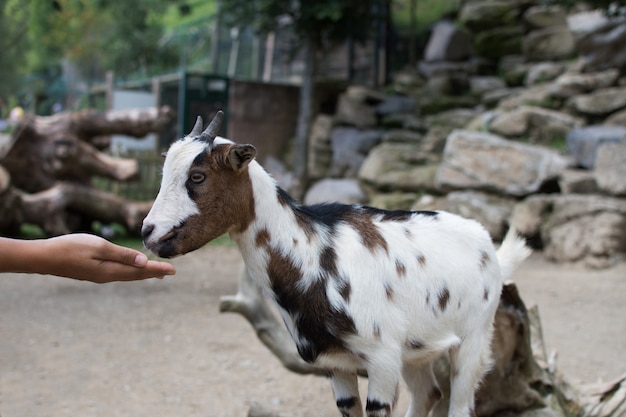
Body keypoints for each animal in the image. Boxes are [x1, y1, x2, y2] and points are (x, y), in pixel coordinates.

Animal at [144, 110, 528, 416]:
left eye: (197, 176)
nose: (149, 232)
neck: (315, 256)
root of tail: (489, 244)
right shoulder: (336, 365)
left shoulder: (382, 361)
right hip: (416, 349)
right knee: (427, 394)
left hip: (474, 338)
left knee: (460, 404)